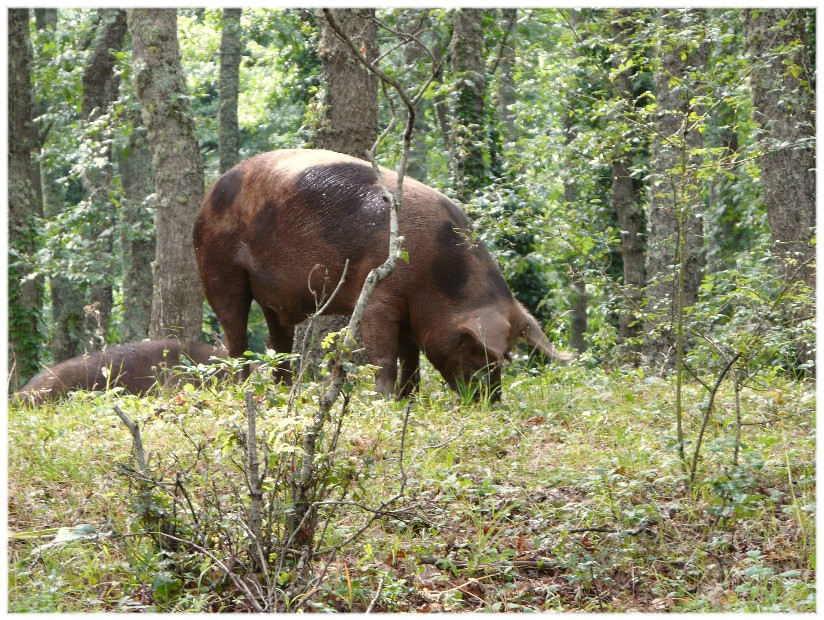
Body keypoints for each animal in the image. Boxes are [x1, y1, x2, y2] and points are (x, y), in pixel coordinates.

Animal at [192, 148, 572, 400]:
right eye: (476, 348)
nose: (489, 402)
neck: (437, 277)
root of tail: (210, 194)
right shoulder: (378, 295)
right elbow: (385, 355)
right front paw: (385, 401)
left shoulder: (411, 314)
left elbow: (411, 356)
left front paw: (409, 399)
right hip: (218, 267)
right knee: (236, 335)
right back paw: (243, 390)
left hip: (273, 297)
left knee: (278, 341)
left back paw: (285, 392)